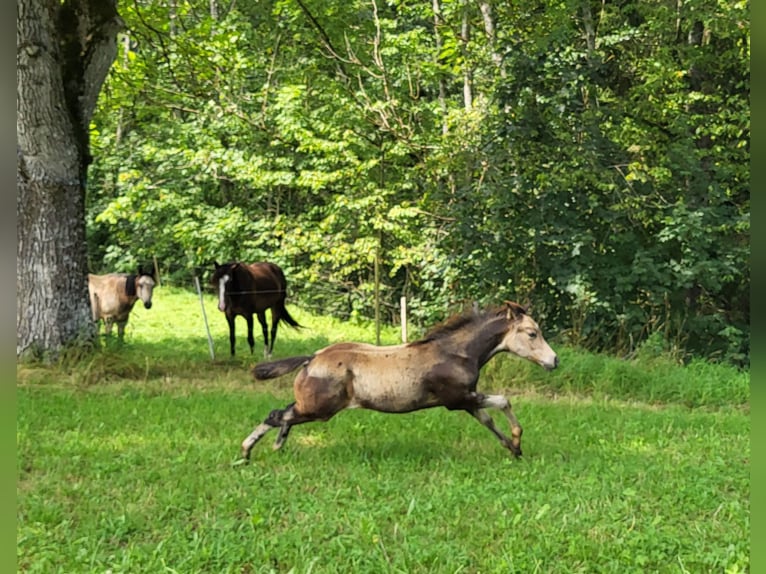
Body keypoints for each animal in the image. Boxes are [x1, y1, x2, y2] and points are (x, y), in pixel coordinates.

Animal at [243, 304, 560, 462]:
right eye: (532, 333)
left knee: (284, 413)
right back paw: (246, 452)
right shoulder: (458, 399)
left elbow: (489, 421)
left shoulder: (468, 400)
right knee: (276, 415)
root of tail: (312, 358)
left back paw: (277, 444)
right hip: (320, 409)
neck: (456, 352)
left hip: (310, 404)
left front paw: (514, 449)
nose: (554, 360)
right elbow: (504, 401)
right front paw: (518, 439)